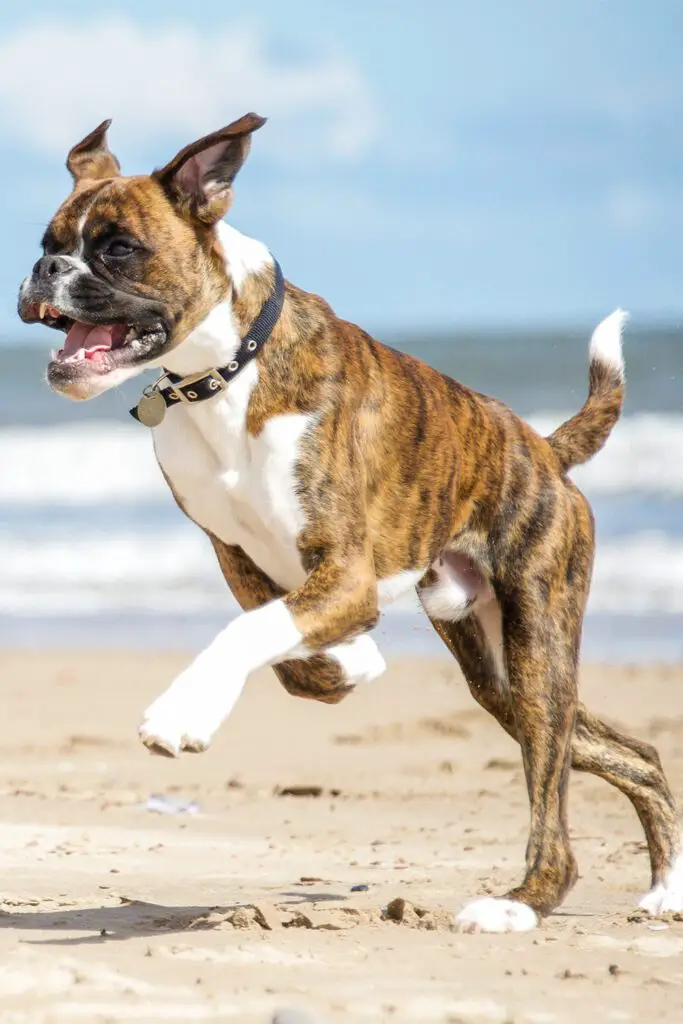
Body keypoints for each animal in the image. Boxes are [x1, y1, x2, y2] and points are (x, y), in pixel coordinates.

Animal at [17, 116, 683, 933]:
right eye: (48, 240)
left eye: (116, 247)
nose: (45, 268)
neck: (227, 372)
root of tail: (544, 451)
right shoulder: (241, 556)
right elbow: (288, 651)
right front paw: (351, 661)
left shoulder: (345, 573)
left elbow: (248, 633)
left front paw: (182, 713)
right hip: (496, 670)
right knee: (628, 753)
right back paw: (664, 889)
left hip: (536, 645)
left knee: (555, 807)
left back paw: (518, 905)